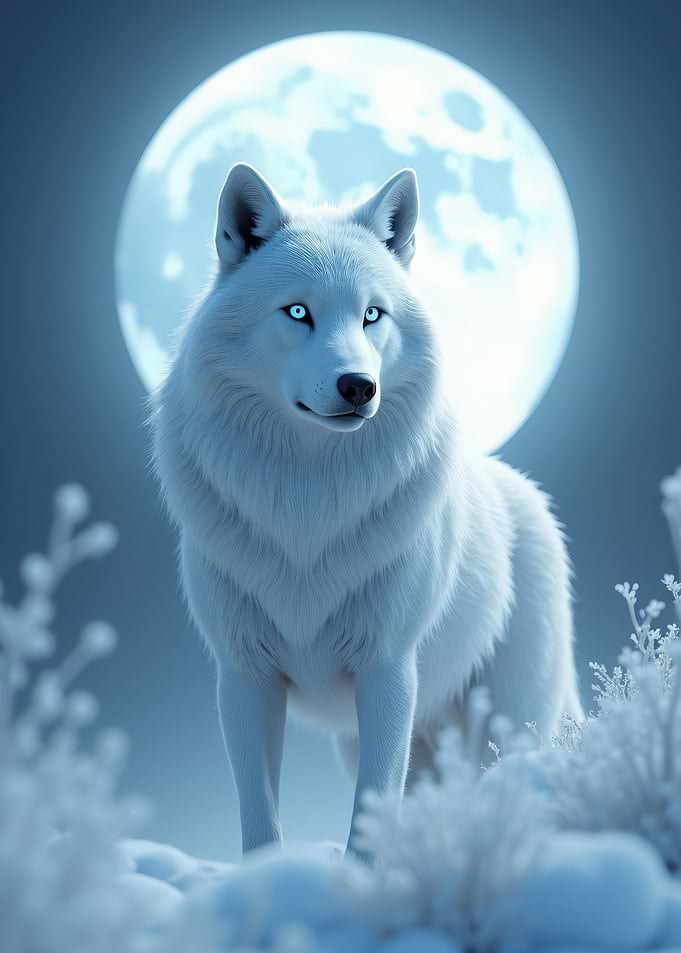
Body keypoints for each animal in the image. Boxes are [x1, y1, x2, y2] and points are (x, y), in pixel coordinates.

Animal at [149, 161, 583, 861]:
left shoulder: (388, 670)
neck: (305, 507)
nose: (359, 386)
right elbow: (260, 817)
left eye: (372, 315)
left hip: (510, 720)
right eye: (298, 312)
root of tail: (525, 494)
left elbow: (374, 805)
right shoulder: (243, 677)